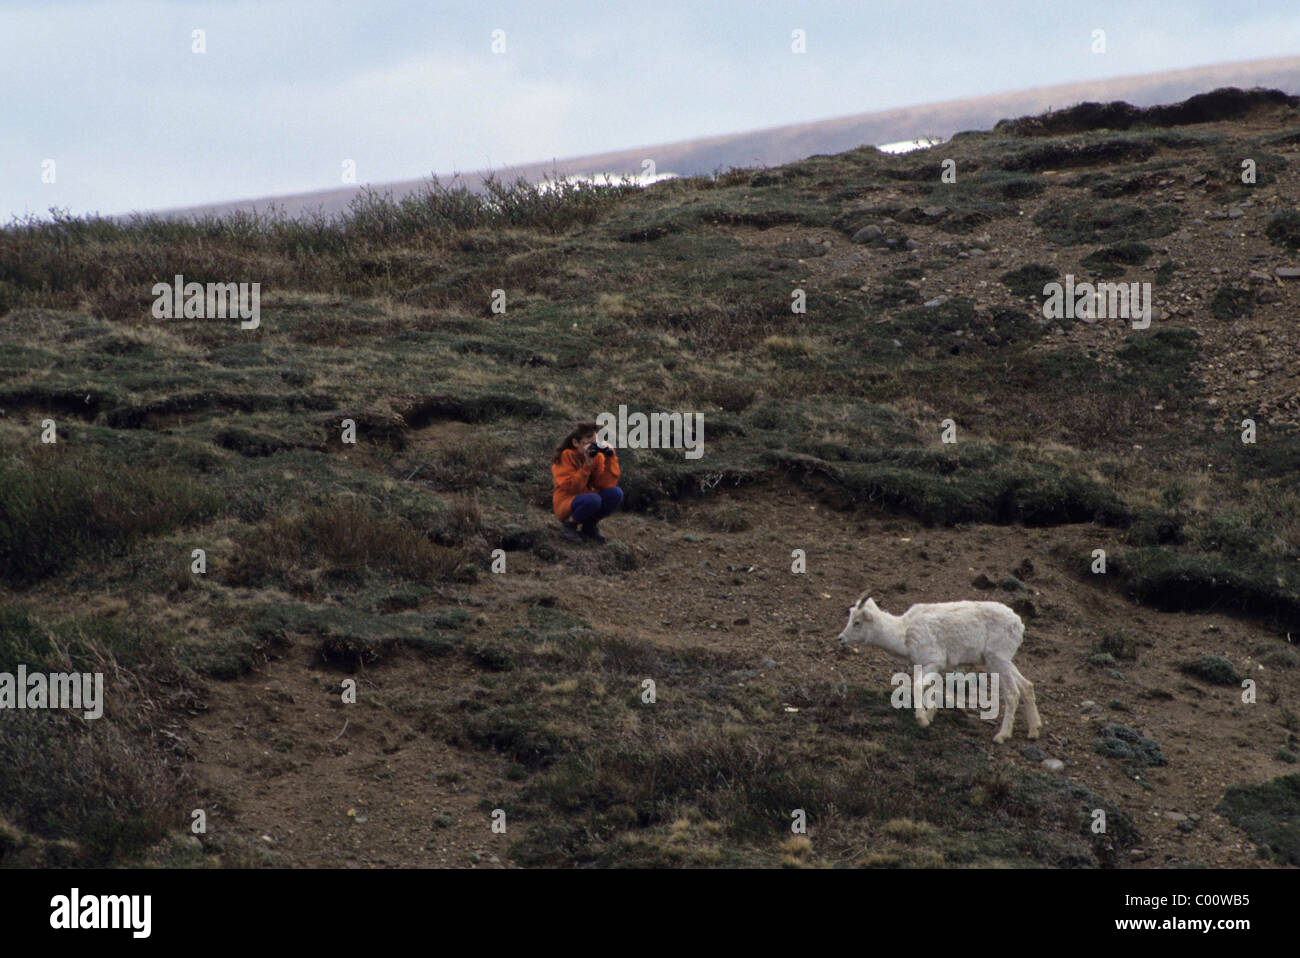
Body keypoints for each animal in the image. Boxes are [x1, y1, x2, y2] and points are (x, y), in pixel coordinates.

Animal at [837, 587, 1040, 743]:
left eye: (857, 622)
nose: (840, 639)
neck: (904, 633)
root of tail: (1019, 624)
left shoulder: (933, 662)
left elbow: (918, 686)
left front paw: (922, 720)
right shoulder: (927, 666)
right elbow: (931, 688)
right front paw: (930, 715)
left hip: (998, 660)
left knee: (1013, 694)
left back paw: (1001, 736)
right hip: (999, 661)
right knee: (1027, 685)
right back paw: (1033, 732)